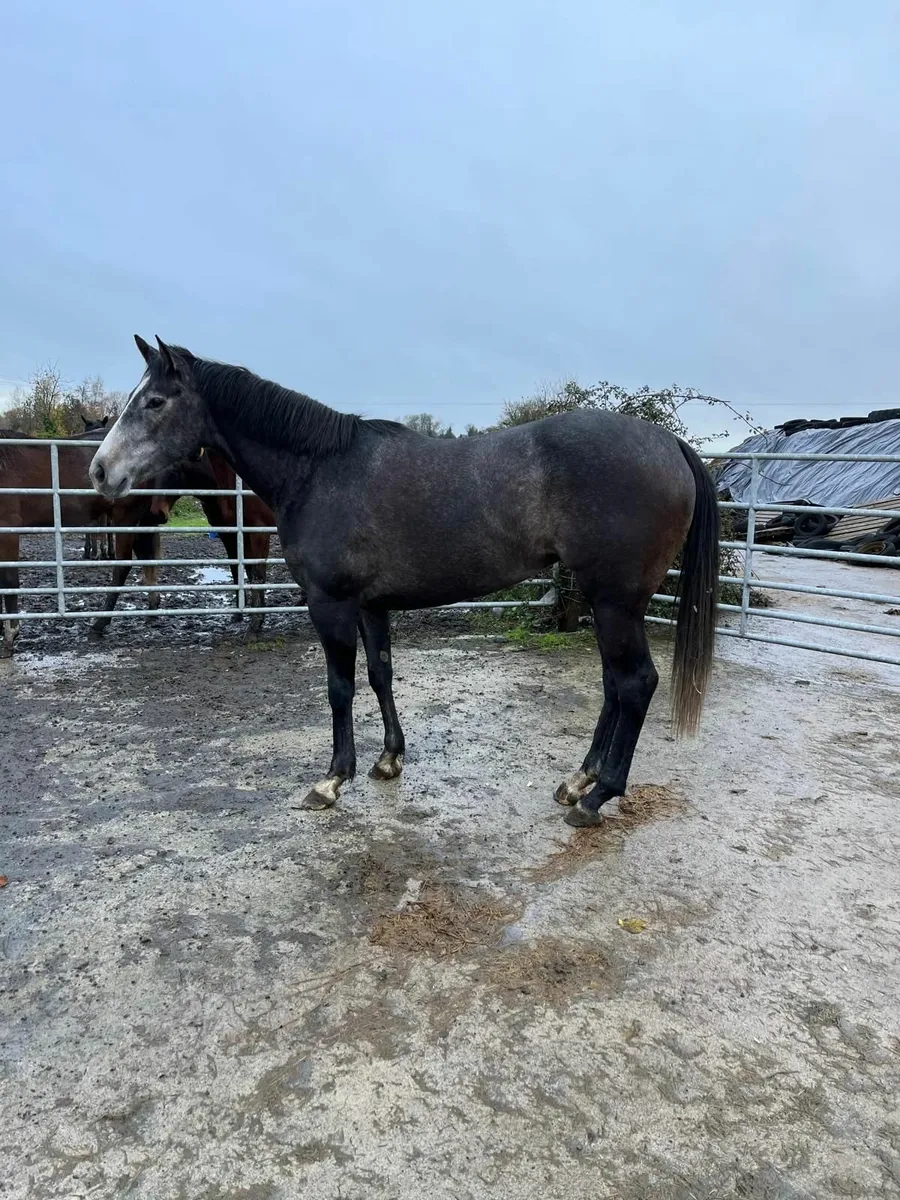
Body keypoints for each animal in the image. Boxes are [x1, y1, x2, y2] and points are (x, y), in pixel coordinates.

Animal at [150, 451, 277, 637]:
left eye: (174, 470)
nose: (156, 513)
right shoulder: (231, 534)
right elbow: (239, 571)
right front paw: (240, 615)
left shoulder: (258, 532)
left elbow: (258, 575)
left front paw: (255, 623)